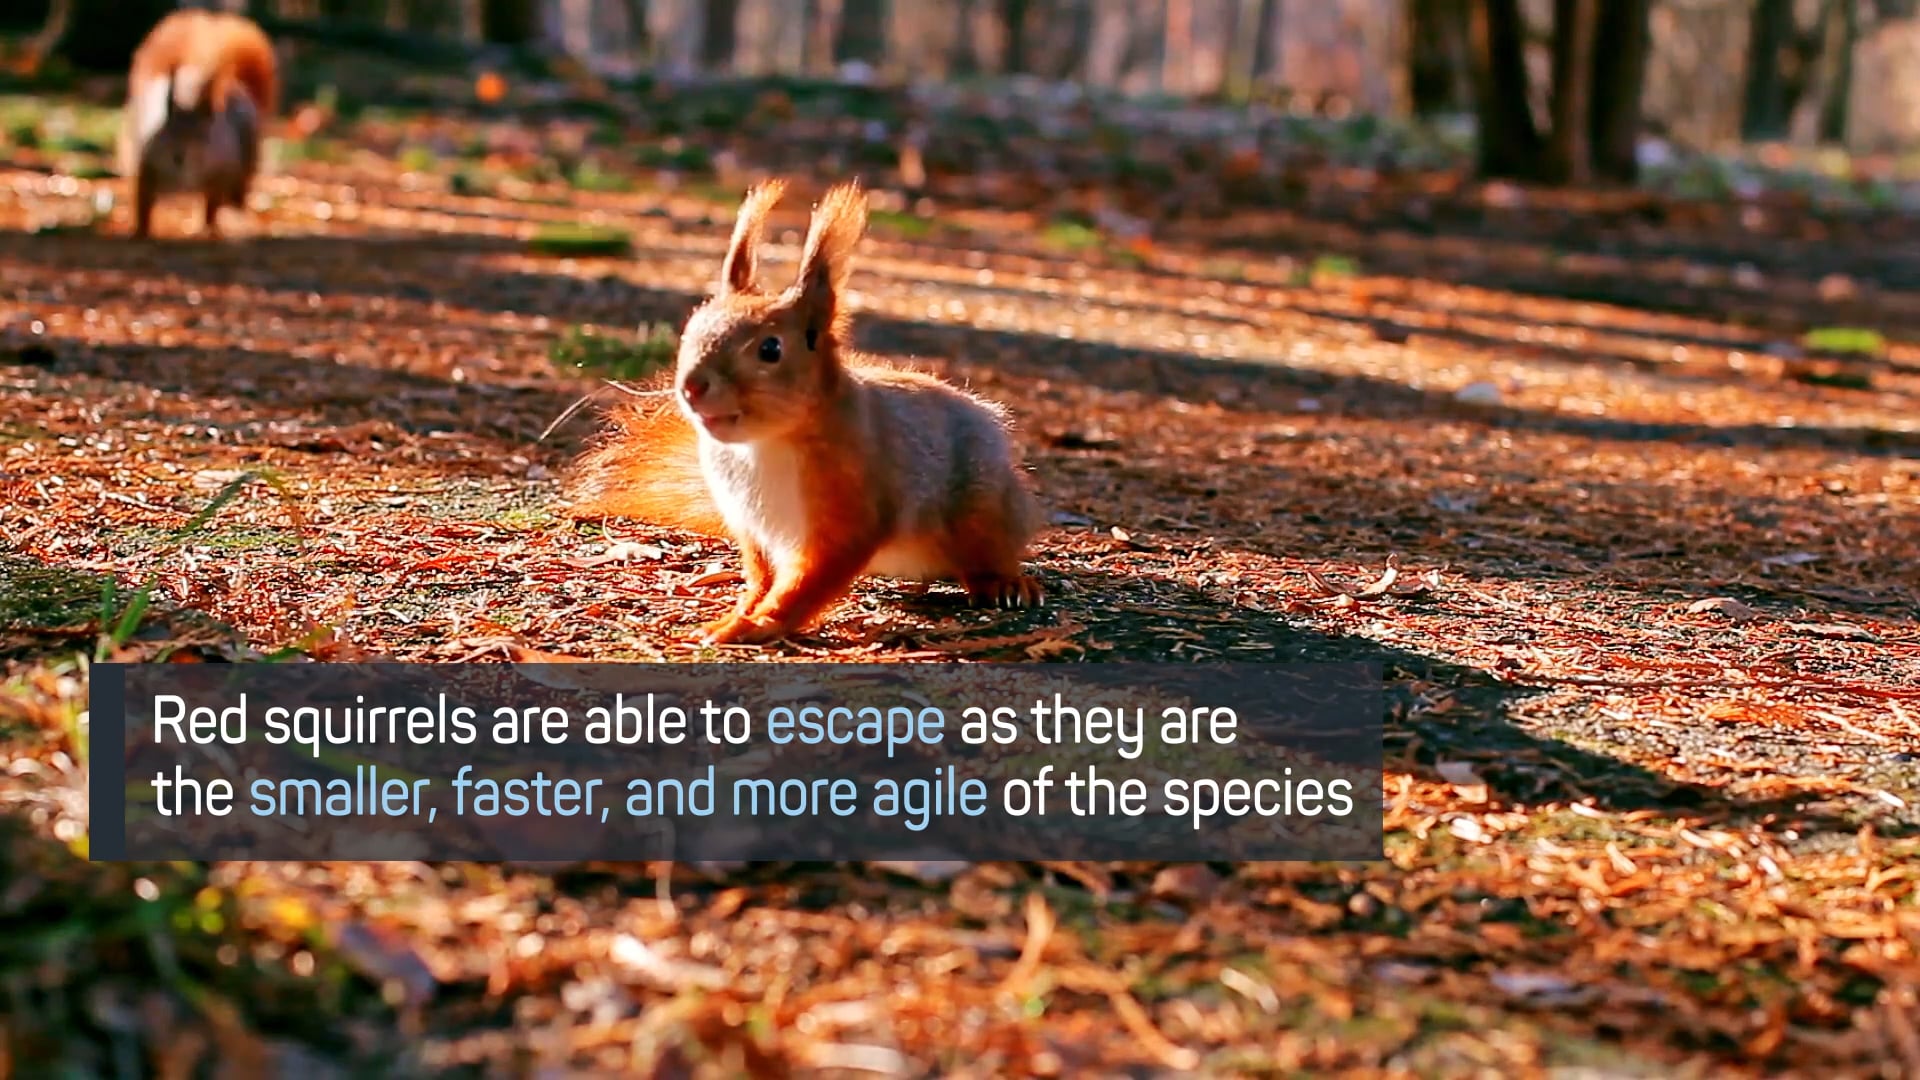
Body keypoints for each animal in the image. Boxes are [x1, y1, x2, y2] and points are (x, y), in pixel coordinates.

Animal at [117, 10, 279, 240]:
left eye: (206, 135)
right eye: (167, 128)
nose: (181, 156)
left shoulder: (222, 169)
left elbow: (213, 206)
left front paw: (210, 227)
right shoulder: (145, 166)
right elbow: (142, 204)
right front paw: (140, 231)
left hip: (247, 159)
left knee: (235, 194)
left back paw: (232, 217)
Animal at [564, 179, 1048, 646]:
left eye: (770, 349)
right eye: (690, 331)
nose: (692, 387)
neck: (762, 446)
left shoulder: (853, 511)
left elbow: (810, 580)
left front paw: (761, 625)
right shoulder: (751, 526)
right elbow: (762, 577)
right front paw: (738, 614)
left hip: (982, 507)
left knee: (988, 549)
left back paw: (1006, 583)